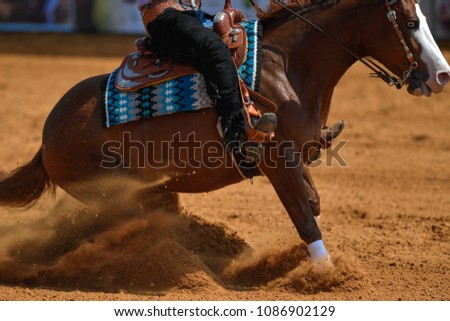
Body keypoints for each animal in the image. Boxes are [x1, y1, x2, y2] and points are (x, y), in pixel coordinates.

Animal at [2, 0, 450, 270]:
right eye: (411, 22)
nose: (442, 75)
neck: (286, 67)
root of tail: (46, 140)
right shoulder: (276, 164)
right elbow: (305, 217)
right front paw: (326, 274)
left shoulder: (297, 158)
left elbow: (314, 203)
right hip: (111, 193)